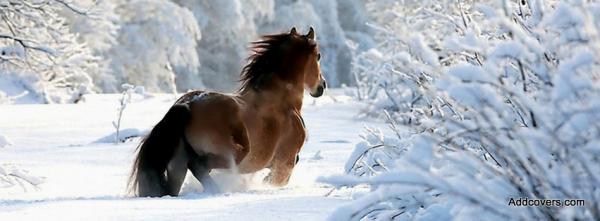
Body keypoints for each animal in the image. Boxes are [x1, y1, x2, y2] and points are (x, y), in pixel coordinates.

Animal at [128, 26, 326, 198]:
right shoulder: (285, 161)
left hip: (177, 165)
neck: (283, 102)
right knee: (199, 166)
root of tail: (188, 105)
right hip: (235, 153)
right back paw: (217, 190)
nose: (322, 86)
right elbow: (276, 181)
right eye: (318, 56)